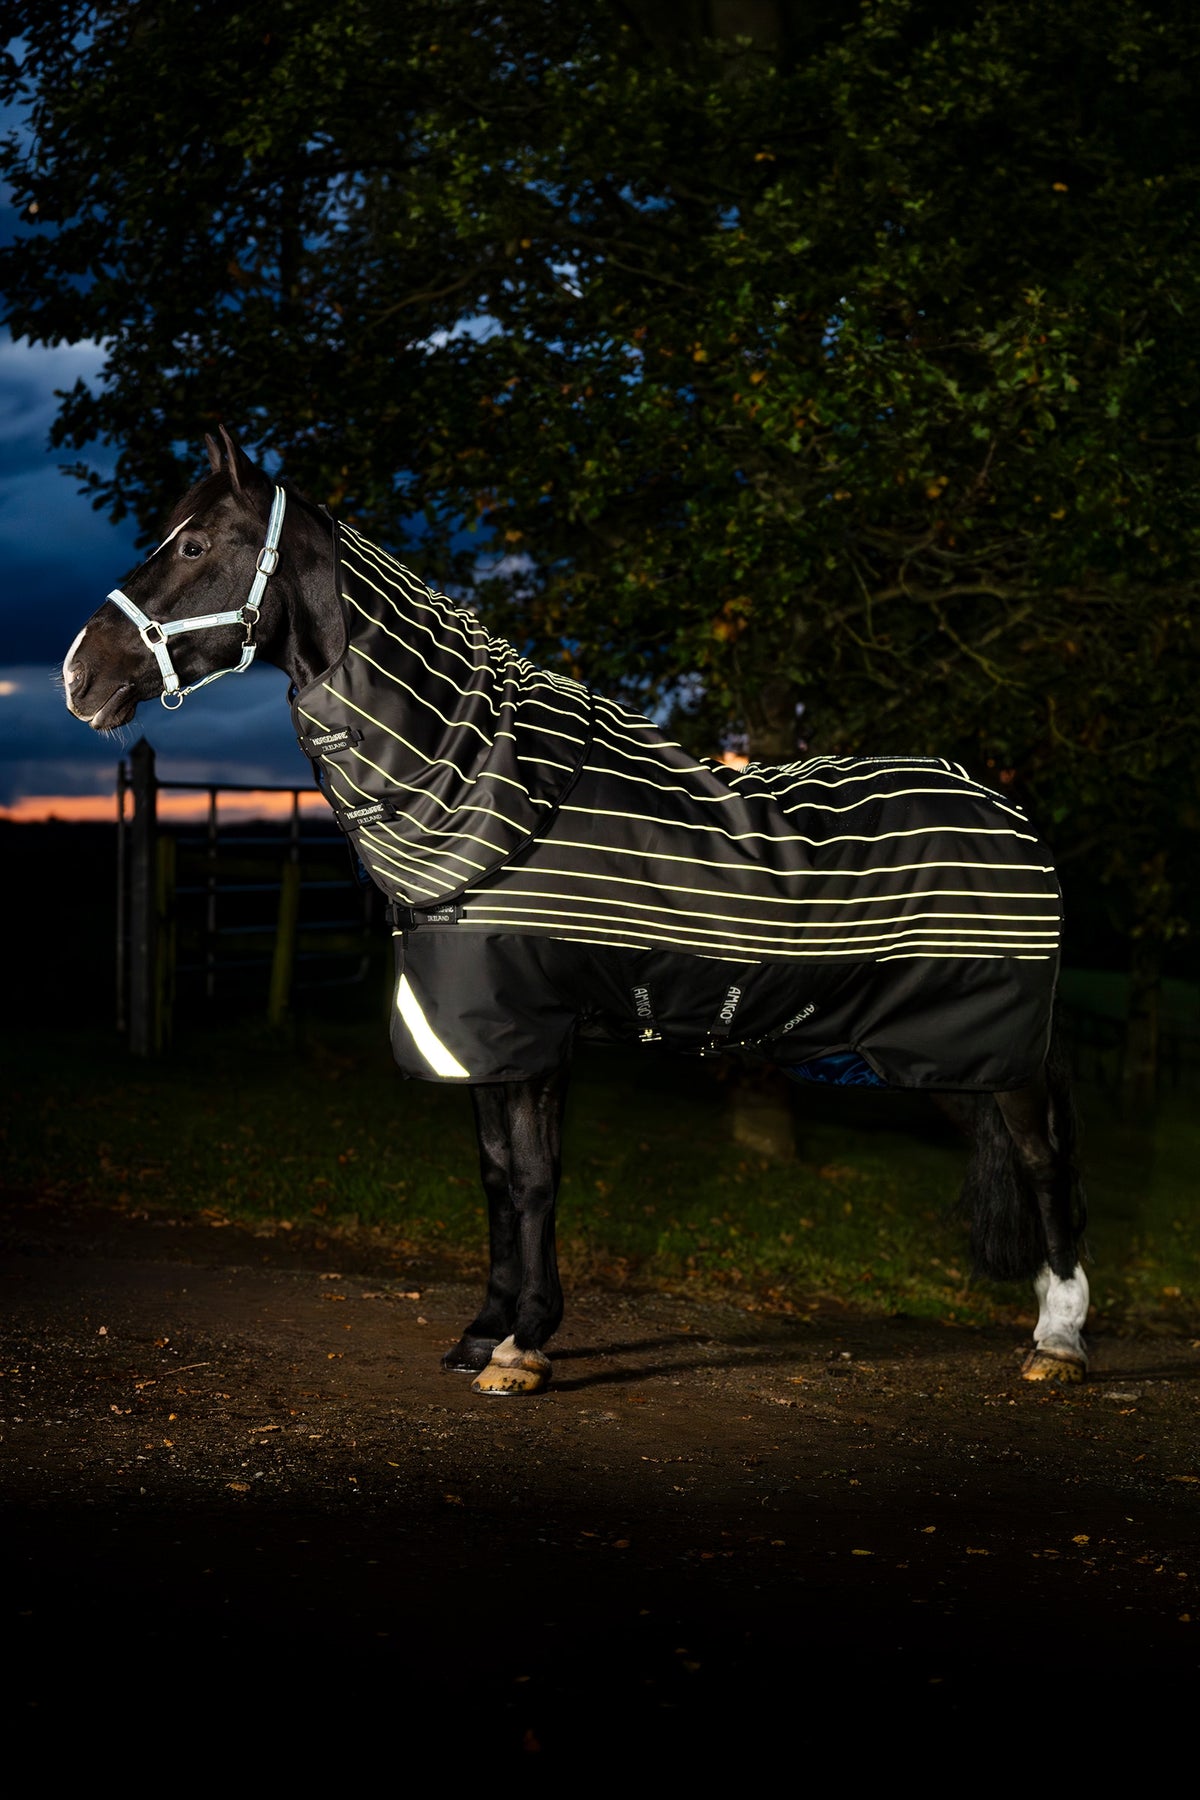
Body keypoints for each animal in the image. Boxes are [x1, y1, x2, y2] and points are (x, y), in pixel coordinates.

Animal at [62, 427, 1089, 1395]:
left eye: (195, 544)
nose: (79, 676)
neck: (483, 787)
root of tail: (1006, 811)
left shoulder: (533, 1029)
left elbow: (533, 1180)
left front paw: (524, 1345)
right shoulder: (474, 1032)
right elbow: (494, 1178)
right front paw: (484, 1332)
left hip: (987, 1050)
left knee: (1045, 1162)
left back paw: (1061, 1342)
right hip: (953, 1058)